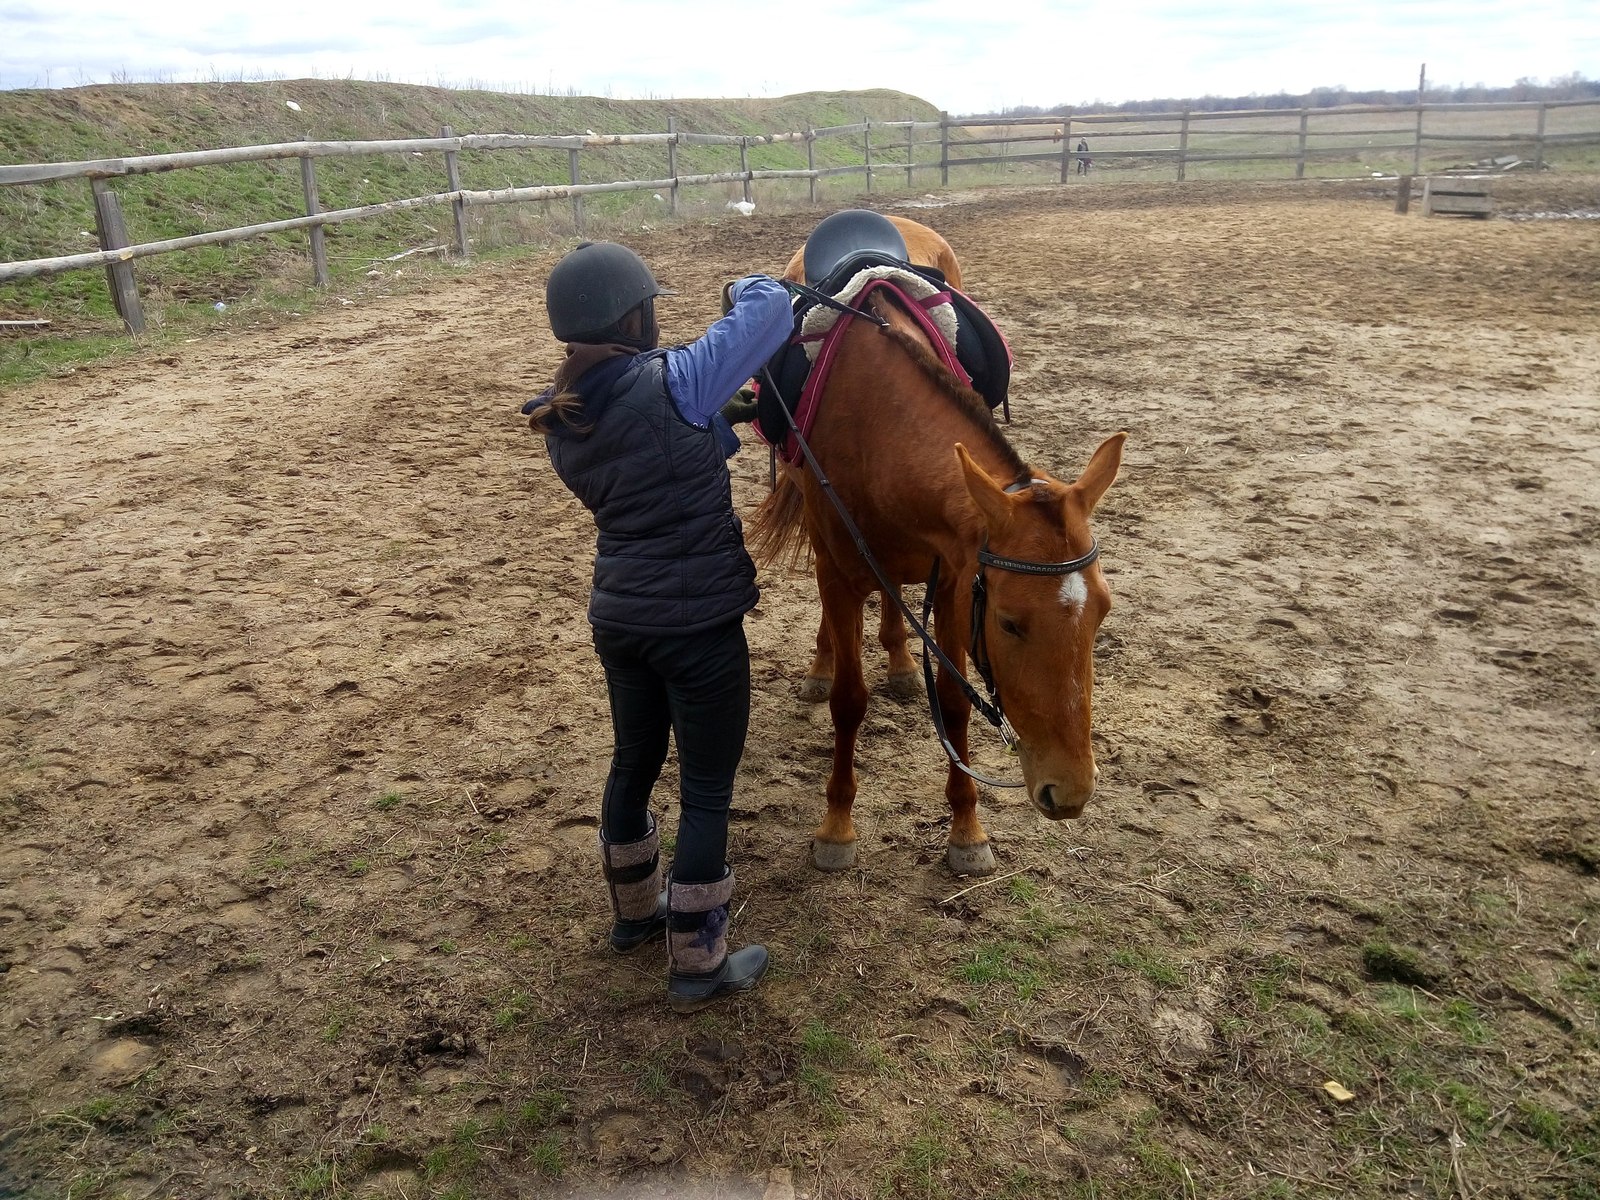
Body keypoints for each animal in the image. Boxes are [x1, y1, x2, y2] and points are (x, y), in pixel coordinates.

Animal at [748, 275, 1126, 876]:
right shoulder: (839, 573)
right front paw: (836, 827)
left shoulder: (953, 583)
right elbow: (849, 701)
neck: (878, 425)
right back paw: (822, 665)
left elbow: (953, 702)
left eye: (1101, 614)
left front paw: (967, 831)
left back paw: (902, 663)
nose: (1071, 792)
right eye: (1009, 622)